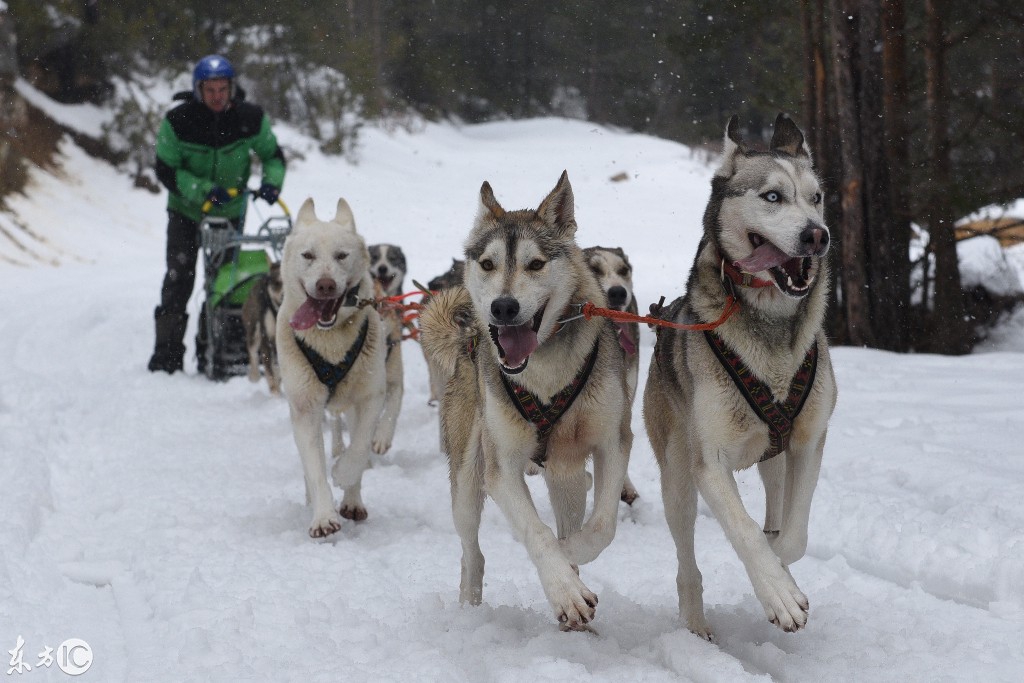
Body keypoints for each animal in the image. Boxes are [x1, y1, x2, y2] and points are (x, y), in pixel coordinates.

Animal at [242, 260, 284, 393]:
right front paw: (275, 392)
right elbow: (269, 371)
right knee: (252, 353)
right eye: (277, 283)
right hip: (254, 331)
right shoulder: (266, 339)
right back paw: (254, 375)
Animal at [276, 197, 387, 540]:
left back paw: (352, 500)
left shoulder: (370, 398)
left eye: (341, 255)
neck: (331, 341)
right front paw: (323, 517)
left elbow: (359, 448)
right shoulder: (305, 408)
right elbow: (314, 468)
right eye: (308, 255)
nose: (325, 285)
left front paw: (343, 473)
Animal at [417, 172, 630, 630]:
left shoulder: (613, 442)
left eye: (535, 264)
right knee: (472, 554)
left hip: (566, 477)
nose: (503, 306)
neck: (545, 375)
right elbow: (538, 533)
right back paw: (470, 609)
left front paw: (570, 560)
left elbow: (601, 527)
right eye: (487, 264)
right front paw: (564, 588)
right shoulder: (502, 469)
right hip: (467, 479)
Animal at [643, 114, 835, 638]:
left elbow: (792, 533)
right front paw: (778, 594)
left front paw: (781, 569)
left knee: (775, 502)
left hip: (774, 461)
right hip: (677, 477)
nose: (818, 235)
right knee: (686, 560)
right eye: (772, 196)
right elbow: (744, 531)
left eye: (816, 197)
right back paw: (694, 623)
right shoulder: (710, 464)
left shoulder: (809, 442)